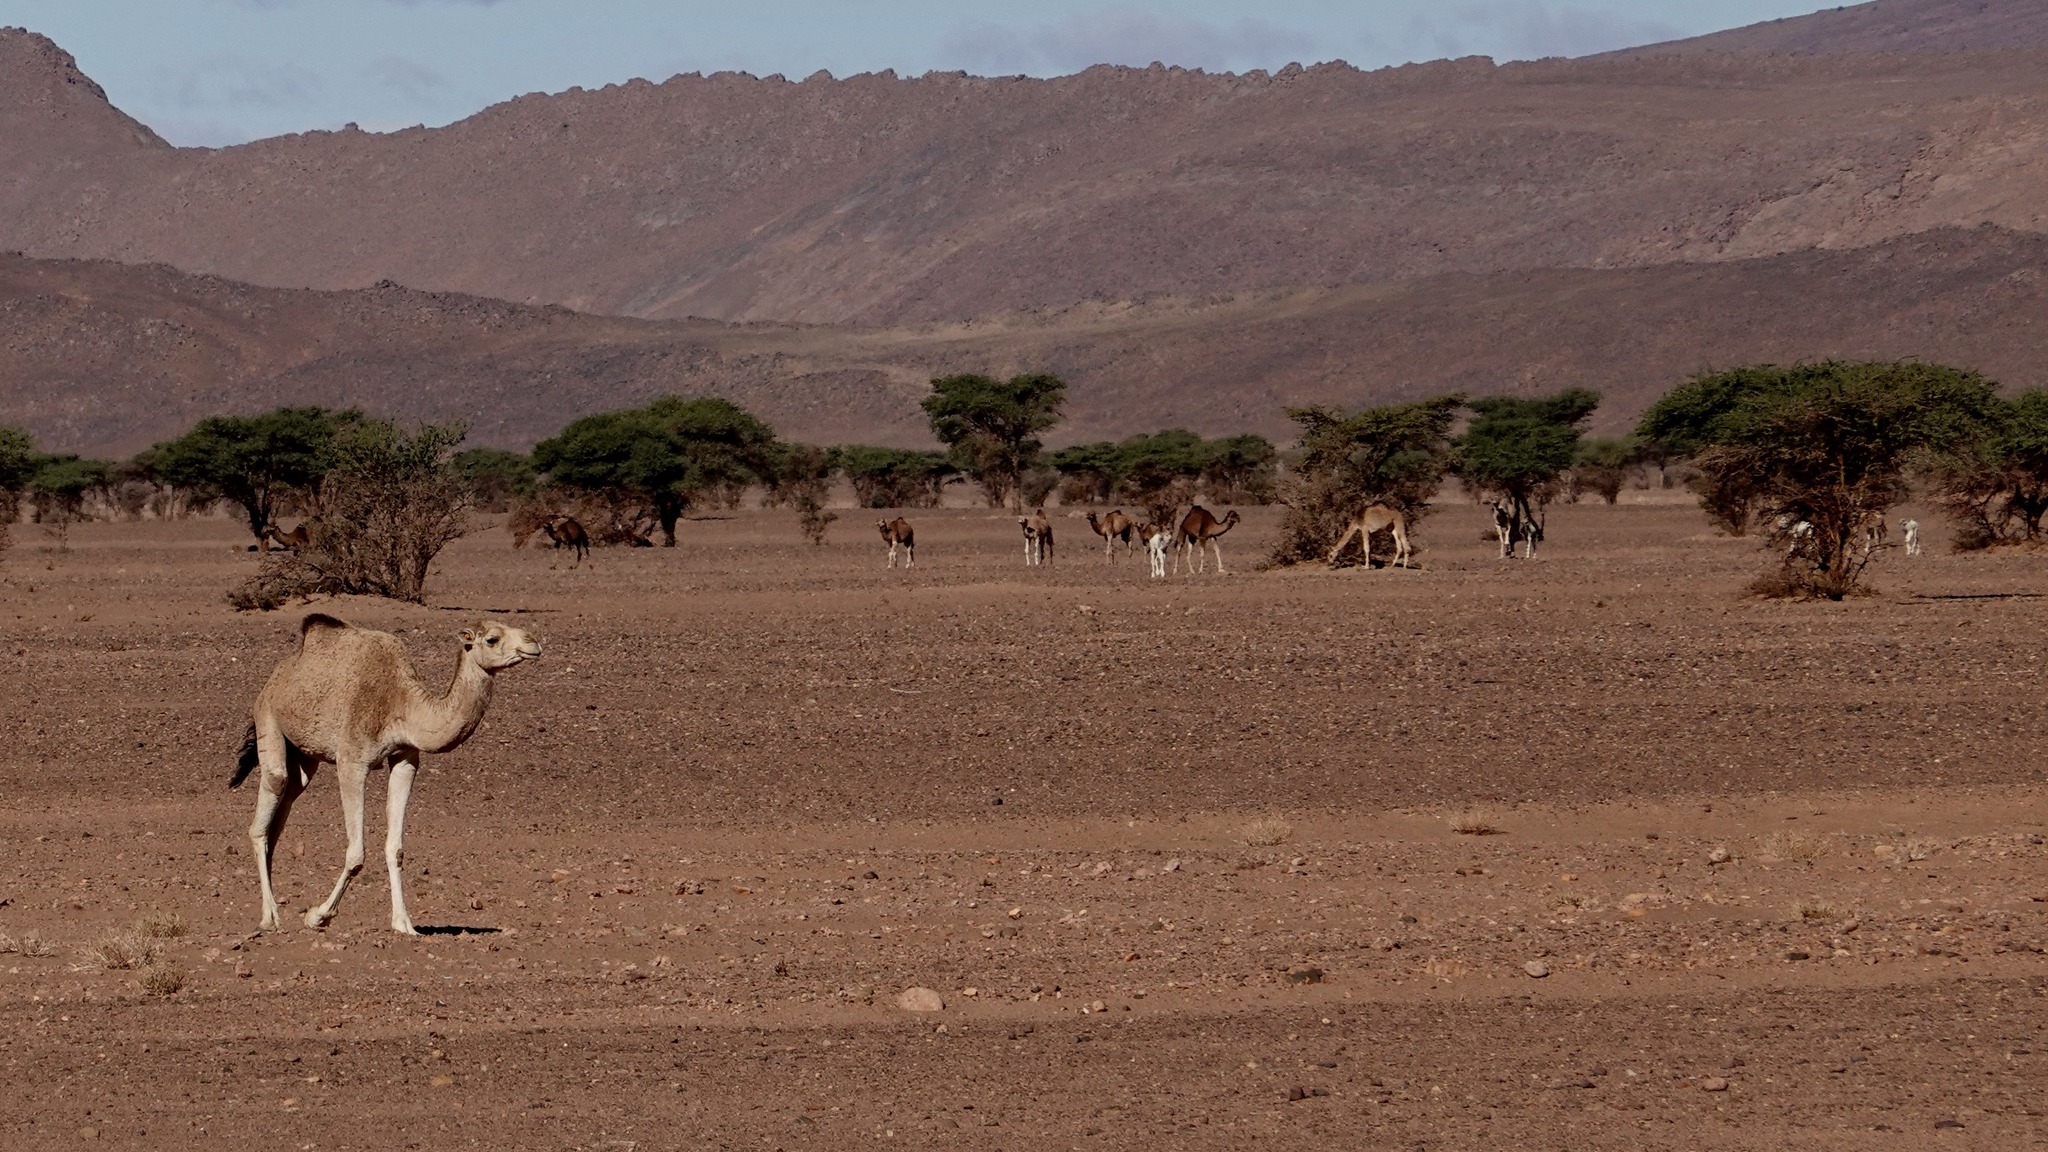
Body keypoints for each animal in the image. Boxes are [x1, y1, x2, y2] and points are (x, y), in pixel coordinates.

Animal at [230, 613, 541, 934]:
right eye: (492, 638)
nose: (533, 642)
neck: (402, 703)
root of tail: (277, 677)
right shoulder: (351, 762)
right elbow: (356, 854)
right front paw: (318, 916)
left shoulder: (405, 759)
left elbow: (396, 848)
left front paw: (404, 923)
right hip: (268, 717)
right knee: (268, 802)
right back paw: (270, 917)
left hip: (304, 754)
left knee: (286, 802)